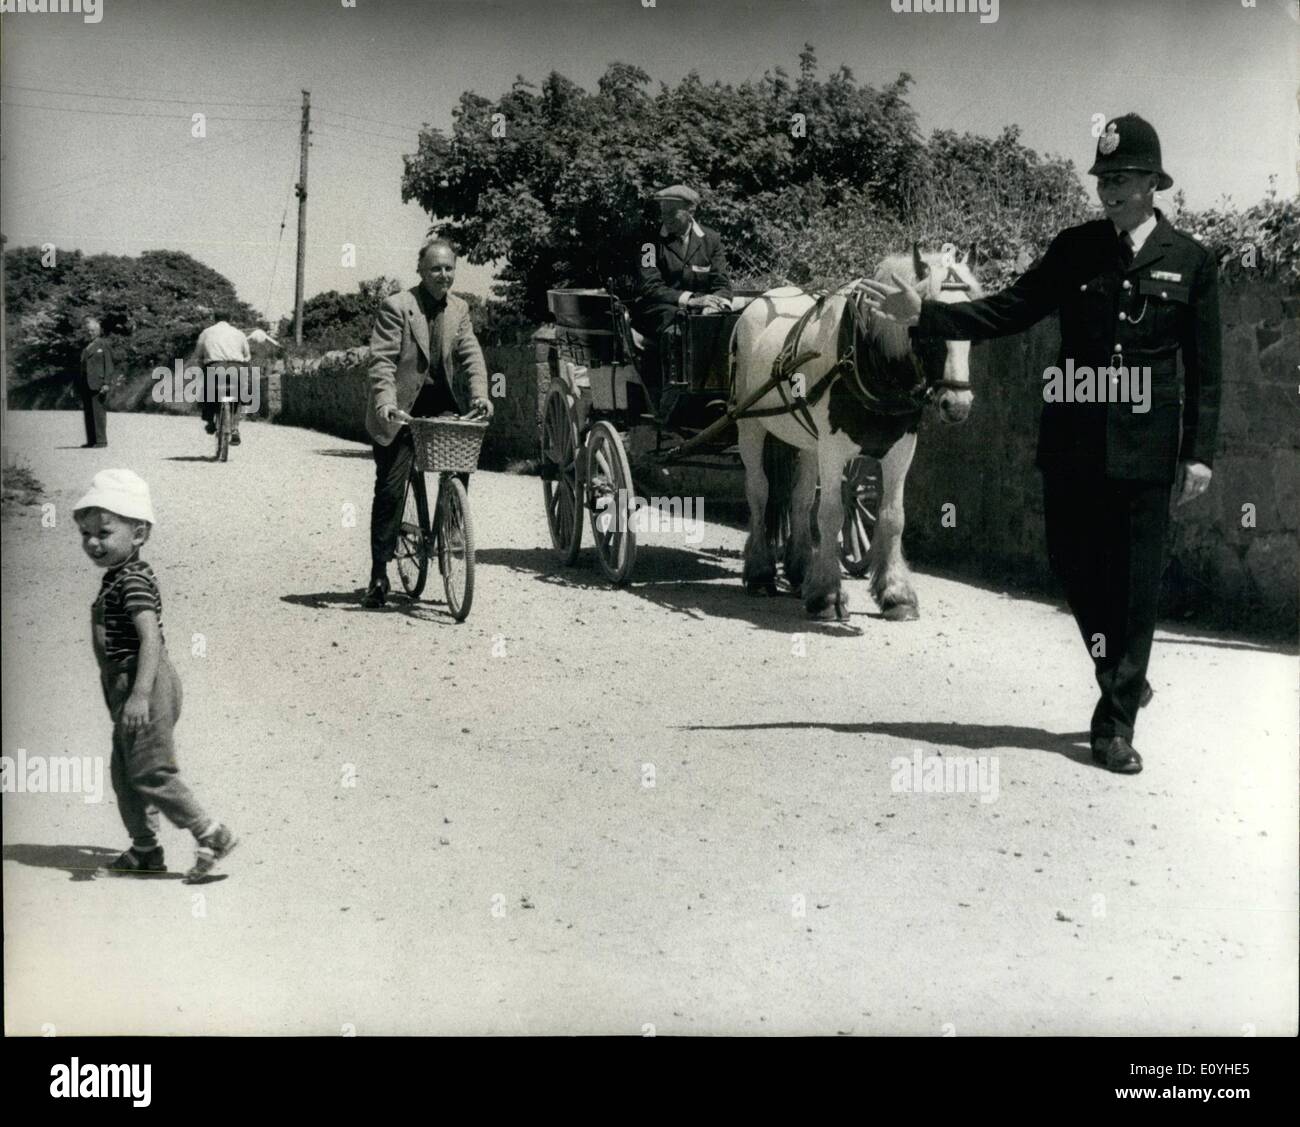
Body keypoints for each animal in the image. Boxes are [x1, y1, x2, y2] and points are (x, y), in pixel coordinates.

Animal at [738, 241, 977, 621]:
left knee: (800, 498)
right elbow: (831, 515)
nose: (957, 405)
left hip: (808, 442)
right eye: (927, 330)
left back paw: (800, 569)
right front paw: (827, 596)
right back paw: (761, 572)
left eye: (971, 331)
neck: (868, 355)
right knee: (759, 491)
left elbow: (892, 517)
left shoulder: (900, 450)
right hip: (750, 425)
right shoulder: (833, 450)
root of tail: (762, 299)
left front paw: (896, 594)